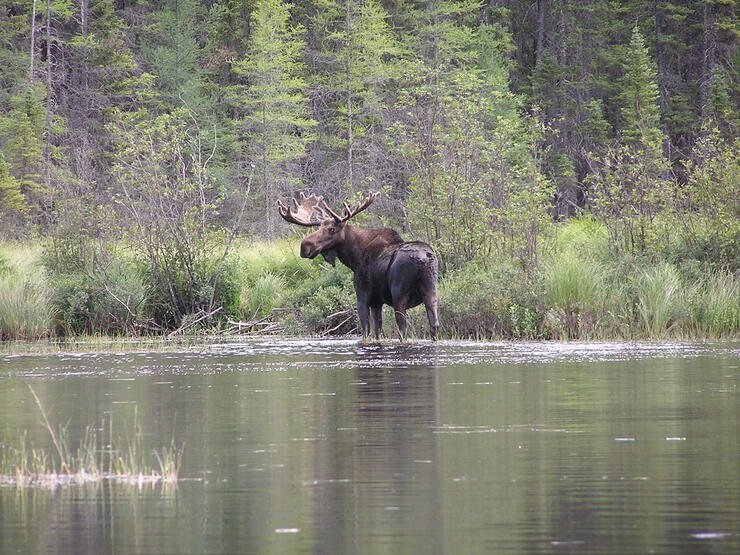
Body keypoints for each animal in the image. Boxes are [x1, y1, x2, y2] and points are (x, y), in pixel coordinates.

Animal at [277, 191, 439, 341]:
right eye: (319, 227)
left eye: (332, 229)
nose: (304, 246)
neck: (354, 258)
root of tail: (424, 259)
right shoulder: (377, 302)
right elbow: (377, 332)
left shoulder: (363, 297)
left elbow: (366, 332)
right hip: (431, 292)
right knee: (434, 324)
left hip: (399, 295)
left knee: (403, 329)